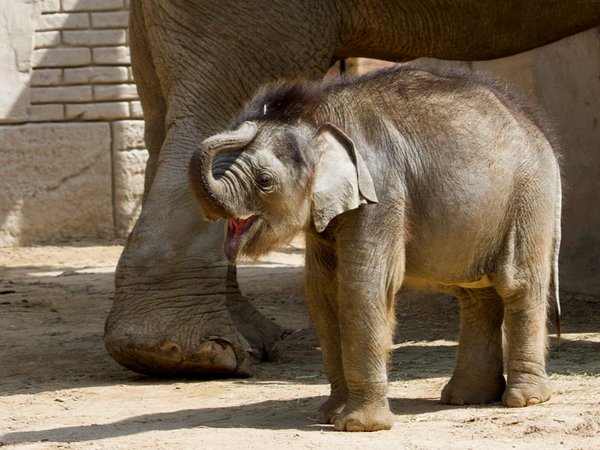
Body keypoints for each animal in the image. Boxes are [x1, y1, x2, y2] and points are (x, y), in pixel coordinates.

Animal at [103, 0, 600, 376]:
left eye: (265, 181)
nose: (259, 113)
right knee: (231, 80)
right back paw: (193, 355)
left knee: (162, 107)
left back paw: (238, 345)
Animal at [189, 67, 564, 432]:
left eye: (264, 181)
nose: (251, 118)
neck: (318, 117)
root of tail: (541, 131)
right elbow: (323, 294)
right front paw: (328, 416)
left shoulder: (381, 191)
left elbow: (362, 287)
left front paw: (360, 426)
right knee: (476, 295)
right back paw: (465, 398)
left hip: (529, 197)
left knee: (517, 284)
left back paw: (524, 400)